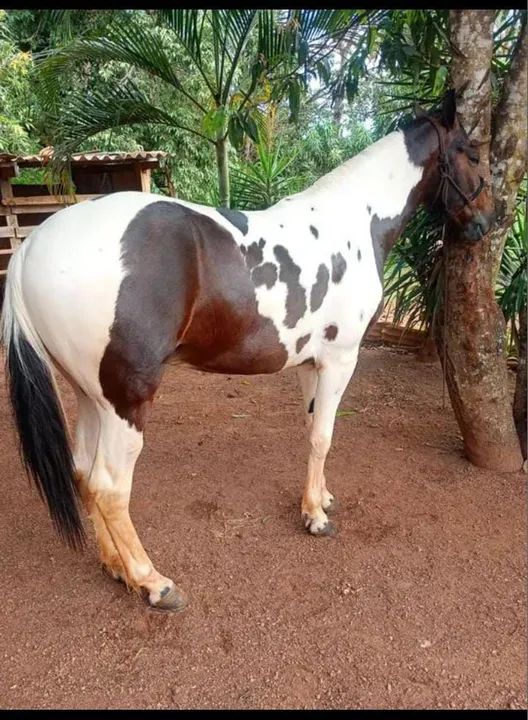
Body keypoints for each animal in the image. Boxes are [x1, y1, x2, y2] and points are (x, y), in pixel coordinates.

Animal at [1, 90, 494, 611]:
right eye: (472, 153)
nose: (487, 222)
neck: (355, 222)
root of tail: (33, 245)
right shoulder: (340, 359)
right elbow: (324, 436)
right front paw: (316, 518)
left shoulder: (310, 363)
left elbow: (311, 431)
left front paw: (318, 499)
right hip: (126, 400)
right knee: (109, 486)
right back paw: (153, 582)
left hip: (90, 395)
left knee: (82, 474)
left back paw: (115, 566)